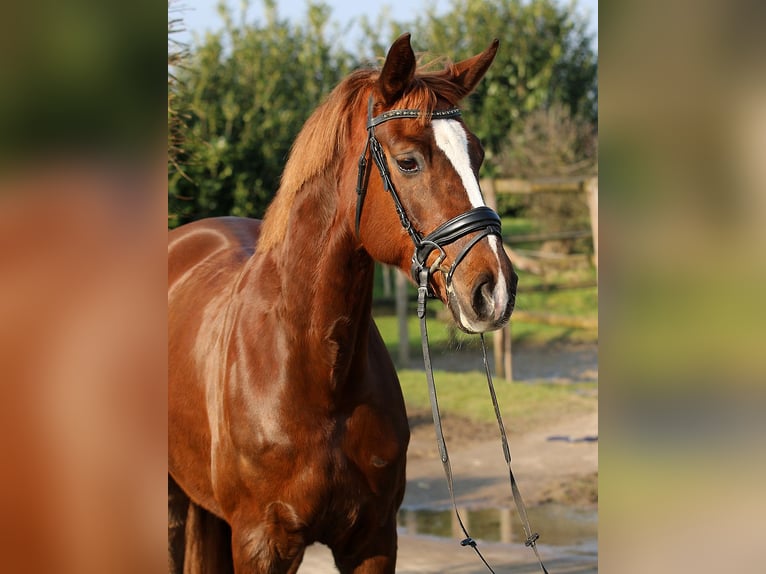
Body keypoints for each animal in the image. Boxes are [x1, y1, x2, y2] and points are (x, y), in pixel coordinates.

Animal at [167, 33, 516, 572]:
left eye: (476, 156)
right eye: (409, 161)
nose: (494, 289)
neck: (316, 373)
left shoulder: (374, 539)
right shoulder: (261, 544)